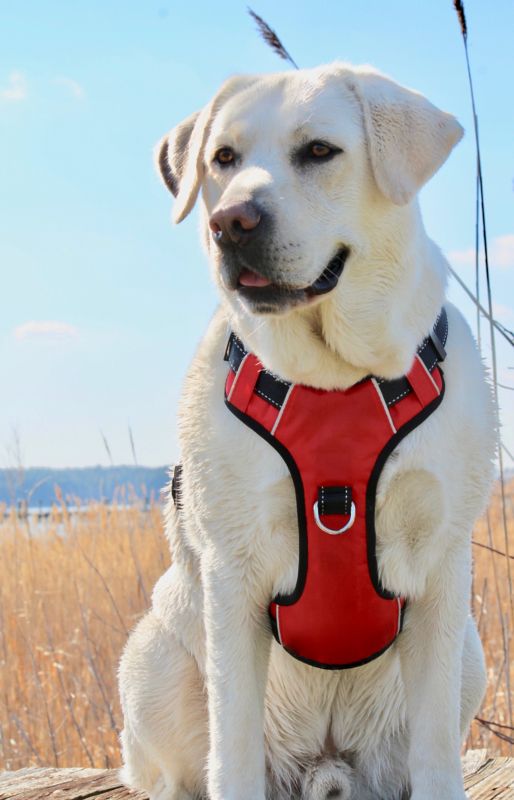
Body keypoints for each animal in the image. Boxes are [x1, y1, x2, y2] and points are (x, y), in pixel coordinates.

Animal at [118, 64, 494, 800]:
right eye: (222, 159)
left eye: (320, 151)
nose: (231, 222)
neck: (334, 378)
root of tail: (326, 763)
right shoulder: (231, 573)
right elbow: (232, 751)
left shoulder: (441, 566)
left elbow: (437, 747)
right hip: (152, 654)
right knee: (176, 770)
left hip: (471, 651)